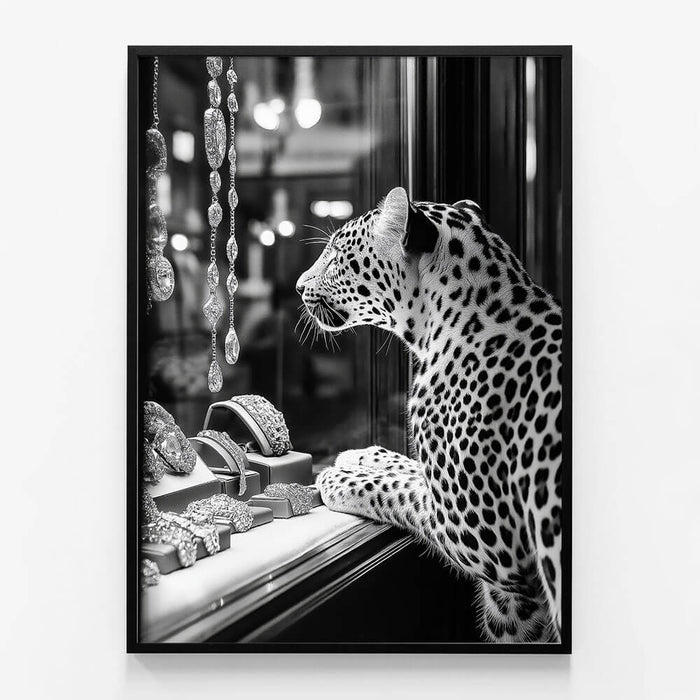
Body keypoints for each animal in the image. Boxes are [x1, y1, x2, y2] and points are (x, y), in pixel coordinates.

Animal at [296, 186, 563, 643]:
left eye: (334, 259)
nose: (297, 287)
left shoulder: (486, 539)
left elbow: (396, 490)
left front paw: (338, 477)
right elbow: (410, 467)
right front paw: (363, 455)